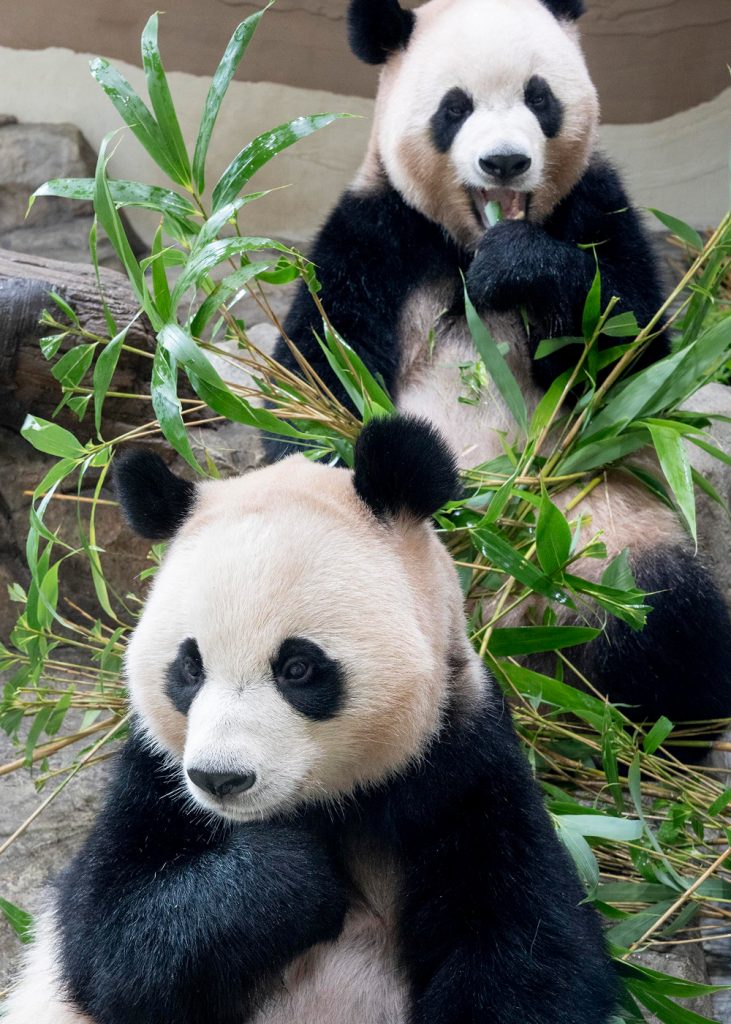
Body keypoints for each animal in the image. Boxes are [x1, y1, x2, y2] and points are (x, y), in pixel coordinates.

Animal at [5, 416, 617, 1024]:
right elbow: (111, 940)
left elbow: (530, 953)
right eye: (190, 667)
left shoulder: (462, 765)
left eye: (297, 667)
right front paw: (290, 874)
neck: (328, 805)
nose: (220, 779)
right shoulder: (155, 779)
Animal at [266, 0, 731, 730]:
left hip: (599, 536)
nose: (505, 162)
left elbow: (633, 371)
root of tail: (513, 604)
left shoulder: (598, 210)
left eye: (538, 98)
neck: (467, 243)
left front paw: (522, 266)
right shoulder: (371, 237)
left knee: (664, 616)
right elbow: (314, 387)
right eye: (453, 108)